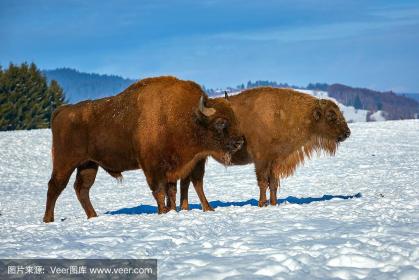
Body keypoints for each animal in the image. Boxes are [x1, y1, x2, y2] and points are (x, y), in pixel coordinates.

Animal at [42, 75, 244, 222]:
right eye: (220, 122)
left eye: (235, 118)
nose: (240, 141)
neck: (186, 117)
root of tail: (62, 111)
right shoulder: (152, 166)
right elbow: (159, 191)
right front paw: (163, 212)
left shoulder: (174, 167)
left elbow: (172, 191)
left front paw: (172, 210)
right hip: (65, 162)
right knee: (55, 186)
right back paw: (48, 220)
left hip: (89, 164)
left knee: (82, 189)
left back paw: (93, 216)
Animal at [177, 87, 352, 210]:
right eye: (331, 116)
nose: (347, 133)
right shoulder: (261, 159)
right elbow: (262, 182)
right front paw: (262, 203)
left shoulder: (275, 161)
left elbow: (273, 183)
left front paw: (274, 203)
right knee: (195, 181)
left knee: (187, 181)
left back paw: (186, 208)